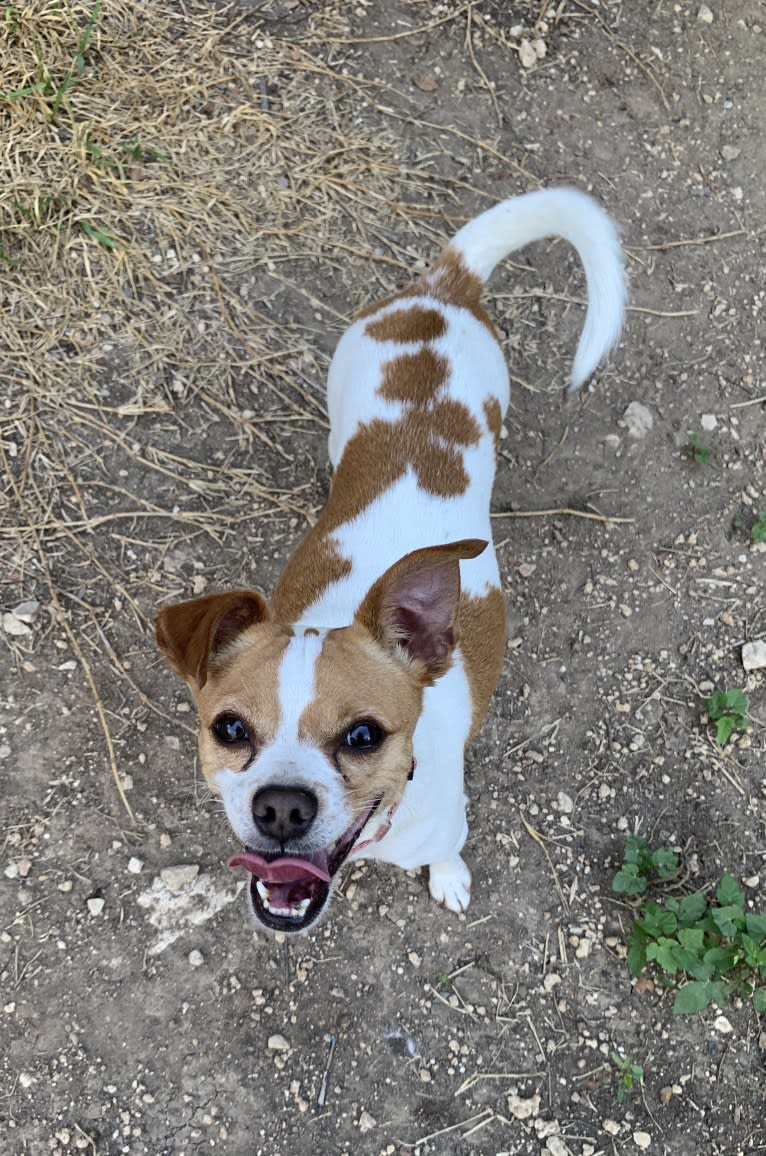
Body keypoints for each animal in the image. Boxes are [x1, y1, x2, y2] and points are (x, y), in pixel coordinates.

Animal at [154, 184, 623, 934]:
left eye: (363, 735)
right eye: (229, 728)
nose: (280, 806)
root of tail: (439, 288)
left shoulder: (448, 823)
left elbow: (448, 854)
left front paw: (450, 878)